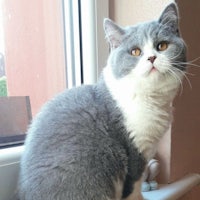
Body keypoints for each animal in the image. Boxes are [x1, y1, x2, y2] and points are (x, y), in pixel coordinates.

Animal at [18, 1, 186, 200]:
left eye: (162, 46)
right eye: (135, 51)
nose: (151, 58)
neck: (150, 98)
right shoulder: (135, 153)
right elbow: (134, 186)